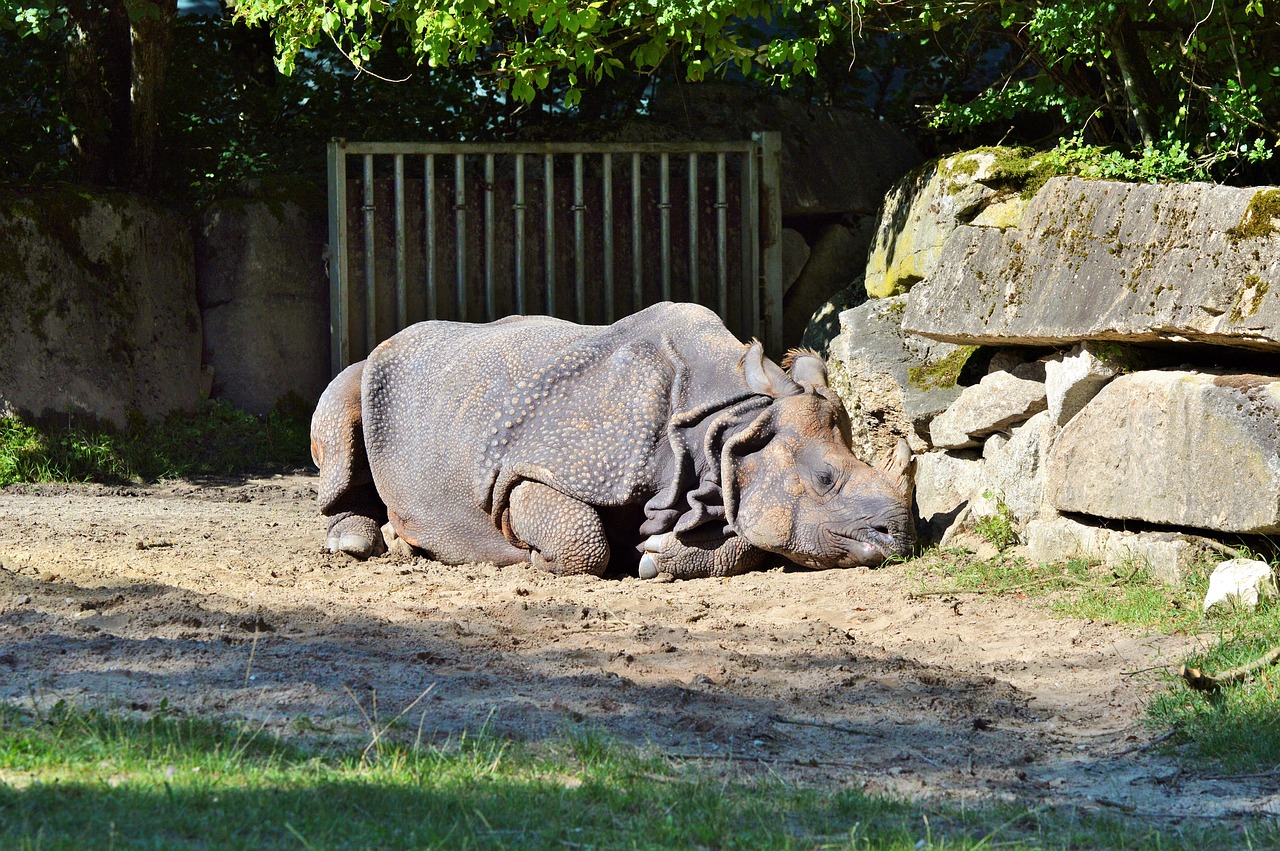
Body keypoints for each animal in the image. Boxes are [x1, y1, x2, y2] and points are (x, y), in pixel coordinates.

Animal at [310, 302, 914, 579]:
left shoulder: (734, 467)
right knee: (343, 398)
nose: (901, 538)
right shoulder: (542, 466)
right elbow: (581, 540)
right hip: (375, 371)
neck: (729, 422)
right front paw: (531, 558)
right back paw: (364, 543)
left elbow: (746, 534)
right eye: (825, 479)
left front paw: (657, 557)